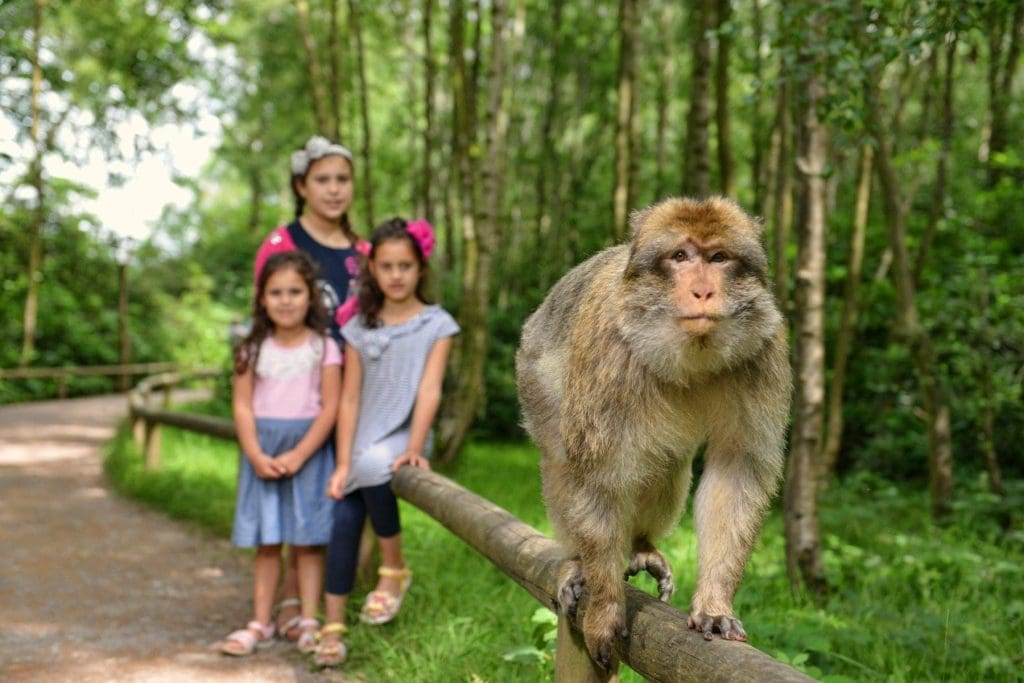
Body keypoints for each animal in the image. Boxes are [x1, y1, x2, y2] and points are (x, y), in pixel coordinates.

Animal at [512, 194, 790, 671]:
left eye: (718, 258)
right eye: (680, 256)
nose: (703, 290)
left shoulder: (765, 349)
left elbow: (737, 470)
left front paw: (714, 605)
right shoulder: (609, 351)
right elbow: (599, 480)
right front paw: (604, 608)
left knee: (667, 460)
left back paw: (640, 543)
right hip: (533, 372)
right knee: (563, 460)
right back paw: (579, 561)